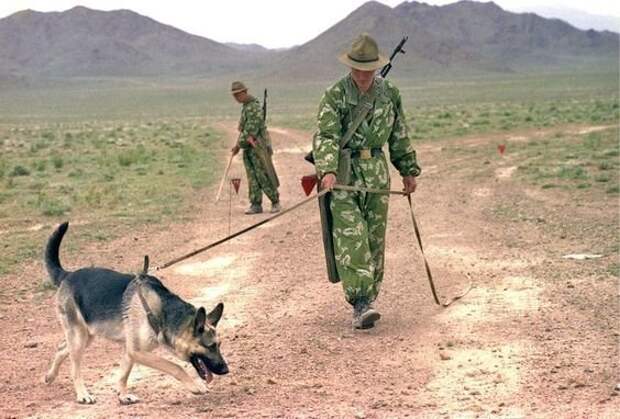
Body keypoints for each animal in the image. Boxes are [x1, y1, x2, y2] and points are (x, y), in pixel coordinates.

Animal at [43, 225, 230, 406]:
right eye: (210, 346)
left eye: (219, 345)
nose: (226, 370)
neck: (162, 311)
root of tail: (67, 275)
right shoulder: (138, 351)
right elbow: (175, 366)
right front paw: (195, 386)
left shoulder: (130, 350)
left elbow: (123, 375)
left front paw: (123, 395)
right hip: (79, 337)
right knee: (74, 367)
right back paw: (83, 394)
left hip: (87, 335)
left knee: (61, 348)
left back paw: (50, 376)